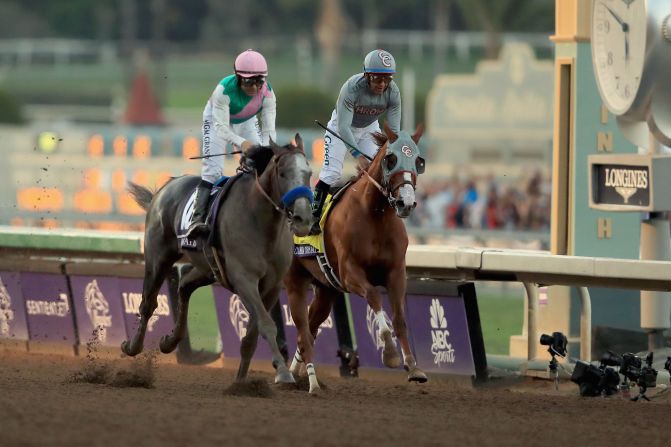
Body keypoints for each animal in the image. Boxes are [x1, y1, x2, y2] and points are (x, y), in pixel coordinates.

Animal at [121, 136, 316, 384]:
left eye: (308, 173)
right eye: (282, 173)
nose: (303, 218)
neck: (262, 224)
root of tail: (166, 187)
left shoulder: (271, 286)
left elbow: (251, 337)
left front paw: (241, 382)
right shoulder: (244, 280)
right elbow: (266, 324)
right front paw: (282, 372)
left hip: (207, 268)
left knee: (184, 287)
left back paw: (170, 342)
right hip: (158, 258)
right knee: (148, 303)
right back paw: (132, 346)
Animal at [286, 124, 428, 394]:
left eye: (419, 161)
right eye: (390, 159)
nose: (405, 203)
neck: (375, 215)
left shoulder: (396, 273)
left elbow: (399, 318)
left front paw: (414, 367)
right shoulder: (350, 273)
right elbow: (374, 296)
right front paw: (390, 353)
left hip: (326, 290)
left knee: (310, 327)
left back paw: (295, 375)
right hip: (295, 281)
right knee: (301, 330)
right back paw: (309, 382)